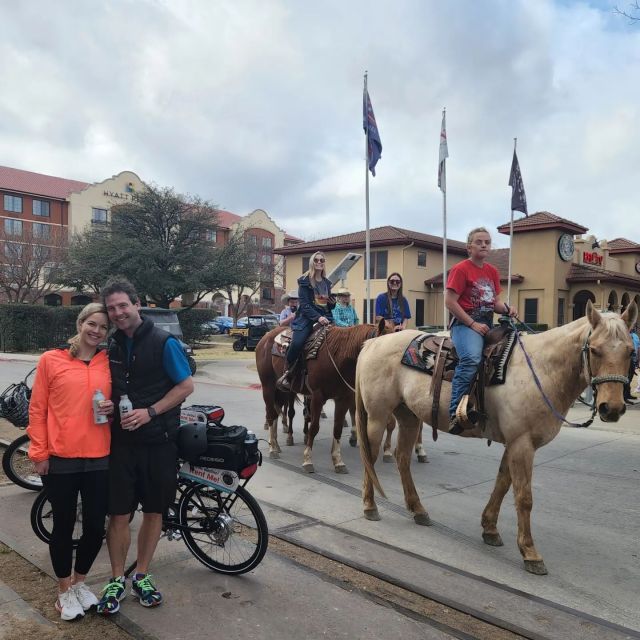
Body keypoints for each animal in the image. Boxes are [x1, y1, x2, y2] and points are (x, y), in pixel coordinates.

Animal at [255, 322, 384, 472]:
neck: (337, 355)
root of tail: (266, 337)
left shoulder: (343, 399)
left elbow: (337, 428)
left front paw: (338, 461)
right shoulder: (317, 397)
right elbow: (314, 427)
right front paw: (307, 460)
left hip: (281, 391)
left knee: (276, 413)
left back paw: (276, 444)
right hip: (268, 386)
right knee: (271, 415)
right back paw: (273, 449)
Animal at [356, 302, 636, 576]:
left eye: (631, 351)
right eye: (595, 350)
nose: (611, 408)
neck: (541, 369)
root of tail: (374, 342)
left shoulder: (515, 443)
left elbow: (502, 484)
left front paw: (489, 528)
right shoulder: (523, 444)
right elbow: (524, 497)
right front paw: (530, 552)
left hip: (409, 417)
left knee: (403, 458)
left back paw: (418, 509)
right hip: (378, 416)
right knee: (369, 456)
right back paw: (370, 506)